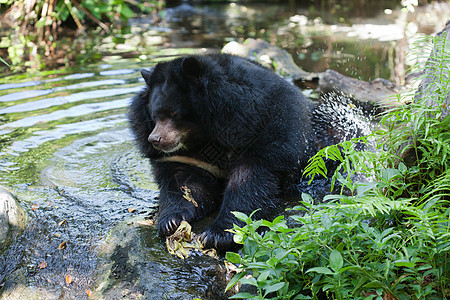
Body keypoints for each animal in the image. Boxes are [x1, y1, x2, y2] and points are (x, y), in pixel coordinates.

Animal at [127, 54, 316, 251]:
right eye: (154, 115)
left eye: (175, 114)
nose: (155, 139)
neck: (204, 134)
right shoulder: (186, 158)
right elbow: (185, 185)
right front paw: (170, 222)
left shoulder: (264, 134)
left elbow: (249, 183)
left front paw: (217, 235)